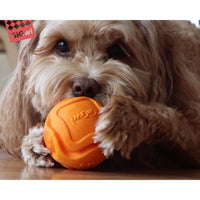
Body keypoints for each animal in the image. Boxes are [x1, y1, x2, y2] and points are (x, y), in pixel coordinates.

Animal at [0, 19, 200, 167]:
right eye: (61, 45)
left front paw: (125, 119)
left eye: (118, 49)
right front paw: (35, 142)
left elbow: (169, 119)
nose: (84, 86)